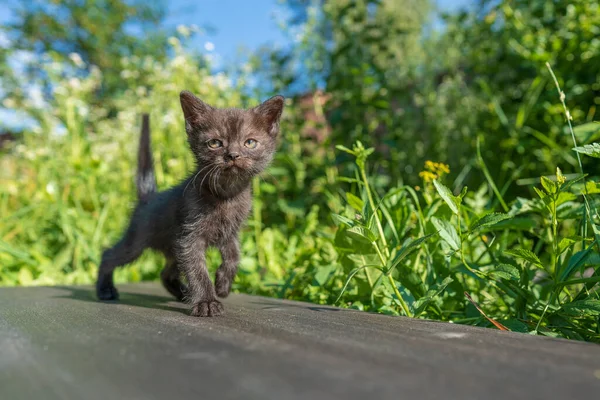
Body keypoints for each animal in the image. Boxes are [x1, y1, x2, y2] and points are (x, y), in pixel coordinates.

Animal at [97, 90, 284, 316]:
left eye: (250, 143)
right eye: (215, 143)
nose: (233, 155)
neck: (226, 195)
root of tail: (148, 197)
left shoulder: (230, 233)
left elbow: (234, 256)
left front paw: (222, 284)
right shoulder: (190, 237)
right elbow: (197, 270)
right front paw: (207, 301)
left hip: (172, 248)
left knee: (166, 273)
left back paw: (183, 293)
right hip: (136, 241)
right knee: (109, 254)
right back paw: (105, 290)